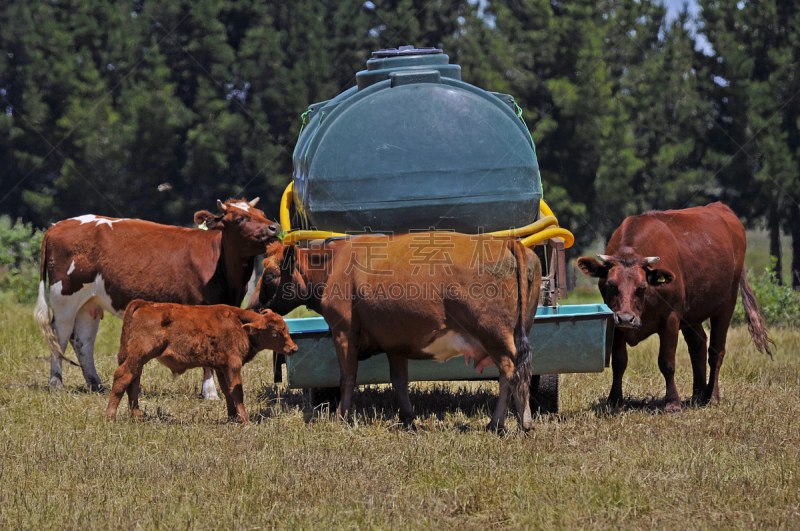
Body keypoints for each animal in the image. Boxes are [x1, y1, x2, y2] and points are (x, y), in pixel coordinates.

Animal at [32, 197, 282, 396]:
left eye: (261, 213)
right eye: (240, 219)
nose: (274, 227)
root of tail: (58, 225)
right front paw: (210, 392)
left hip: (89, 302)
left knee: (82, 341)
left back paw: (96, 385)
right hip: (65, 296)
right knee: (59, 335)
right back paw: (56, 383)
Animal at [103, 302, 296, 426]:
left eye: (286, 328)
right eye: (276, 333)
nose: (294, 348)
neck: (238, 323)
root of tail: (146, 304)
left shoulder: (222, 368)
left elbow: (228, 391)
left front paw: (233, 417)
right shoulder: (233, 365)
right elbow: (237, 392)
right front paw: (245, 420)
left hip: (138, 360)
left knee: (133, 381)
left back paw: (138, 417)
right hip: (139, 355)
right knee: (122, 377)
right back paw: (110, 417)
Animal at [247, 237, 540, 432]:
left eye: (270, 275)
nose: (252, 307)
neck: (335, 264)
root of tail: (508, 241)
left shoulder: (343, 332)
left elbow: (347, 377)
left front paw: (341, 417)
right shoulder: (394, 342)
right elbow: (399, 381)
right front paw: (408, 419)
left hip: (494, 335)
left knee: (512, 373)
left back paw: (509, 423)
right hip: (514, 334)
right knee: (514, 373)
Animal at [580, 204, 772, 412]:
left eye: (642, 287)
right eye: (610, 284)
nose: (626, 318)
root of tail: (720, 208)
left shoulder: (670, 319)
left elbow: (667, 362)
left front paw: (672, 403)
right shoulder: (615, 324)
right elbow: (619, 362)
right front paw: (615, 401)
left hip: (727, 303)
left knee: (716, 351)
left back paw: (712, 396)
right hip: (691, 314)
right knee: (698, 346)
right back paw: (698, 395)